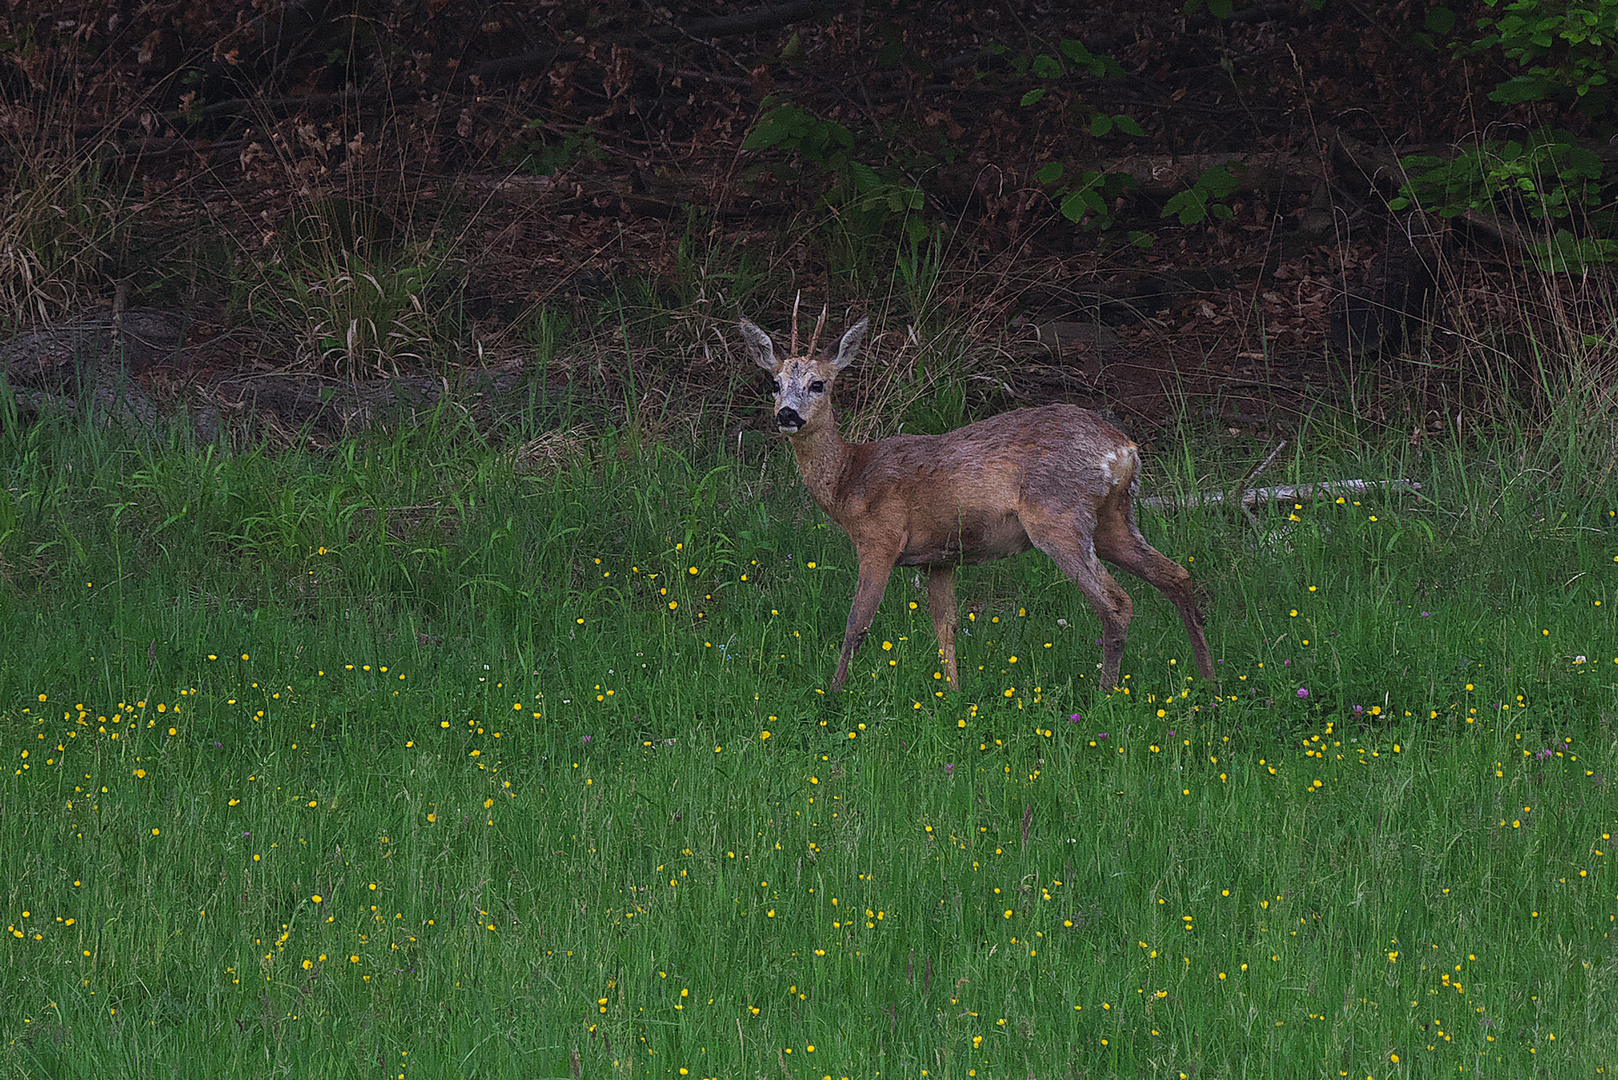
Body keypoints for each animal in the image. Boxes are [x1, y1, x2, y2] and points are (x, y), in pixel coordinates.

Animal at [741, 310, 1210, 693]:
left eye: (818, 384)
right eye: (775, 383)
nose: (786, 414)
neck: (848, 482)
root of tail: (1124, 449)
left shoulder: (880, 539)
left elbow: (857, 624)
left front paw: (833, 696)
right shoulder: (939, 557)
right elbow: (944, 627)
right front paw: (953, 694)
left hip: (1058, 514)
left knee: (1117, 603)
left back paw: (1104, 695)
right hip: (1115, 517)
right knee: (1177, 575)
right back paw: (1209, 685)